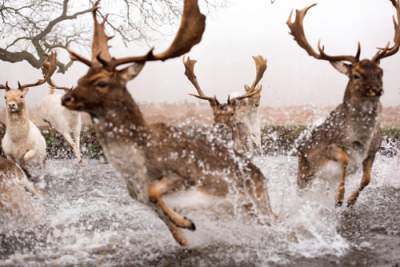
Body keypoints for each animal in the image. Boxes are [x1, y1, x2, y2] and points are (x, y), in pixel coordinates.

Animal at [61, 0, 276, 247]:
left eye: (101, 83)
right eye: (80, 79)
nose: (66, 98)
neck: (136, 166)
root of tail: (261, 175)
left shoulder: (186, 173)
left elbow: (155, 192)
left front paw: (187, 222)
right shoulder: (136, 195)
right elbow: (165, 220)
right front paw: (183, 231)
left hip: (259, 200)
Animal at [286, 0, 398, 208]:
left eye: (380, 71)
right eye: (356, 75)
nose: (377, 89)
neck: (360, 139)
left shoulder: (373, 150)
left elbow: (367, 179)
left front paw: (351, 201)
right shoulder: (330, 147)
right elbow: (345, 160)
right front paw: (339, 198)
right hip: (304, 173)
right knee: (301, 189)